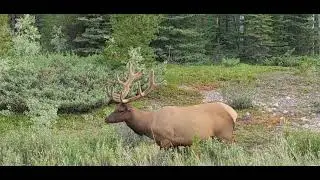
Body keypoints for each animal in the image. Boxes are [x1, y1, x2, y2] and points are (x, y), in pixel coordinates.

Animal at [105, 62, 238, 149]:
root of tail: (234, 114)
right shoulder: (173, 144)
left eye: (120, 110)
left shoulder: (166, 140)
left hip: (224, 135)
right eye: (115, 108)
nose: (106, 119)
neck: (149, 125)